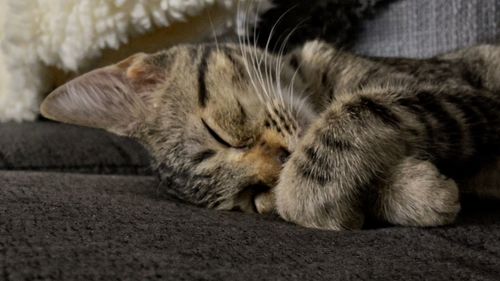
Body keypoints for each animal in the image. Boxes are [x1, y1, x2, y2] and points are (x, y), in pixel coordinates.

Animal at [40, 41, 500, 230]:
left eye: (222, 134)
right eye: (250, 197)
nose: (281, 166)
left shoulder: (467, 96)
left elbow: (357, 109)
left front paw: (305, 192)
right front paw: (415, 193)